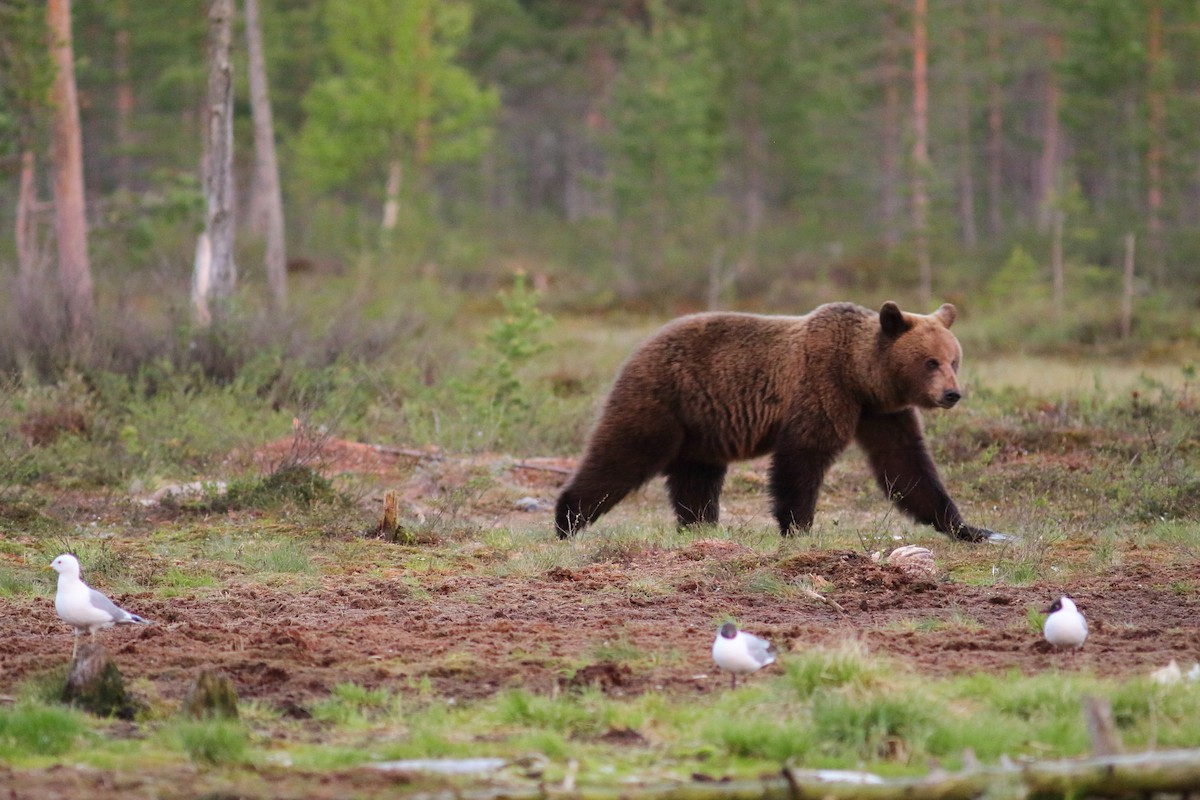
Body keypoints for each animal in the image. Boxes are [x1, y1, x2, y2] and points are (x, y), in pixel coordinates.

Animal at [556, 302, 998, 544]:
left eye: (954, 359)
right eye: (930, 362)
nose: (952, 394)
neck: (861, 376)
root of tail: (641, 345)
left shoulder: (882, 413)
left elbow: (906, 468)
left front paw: (969, 528)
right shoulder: (822, 386)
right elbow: (801, 458)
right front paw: (798, 527)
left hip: (702, 426)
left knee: (696, 478)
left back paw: (699, 526)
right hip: (662, 398)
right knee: (623, 453)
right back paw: (567, 519)